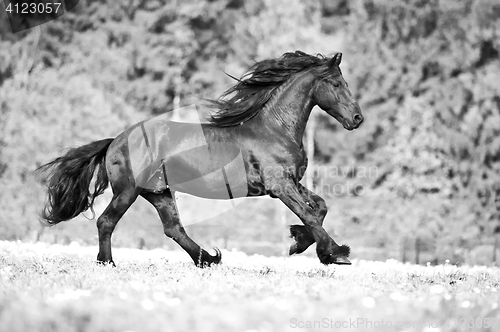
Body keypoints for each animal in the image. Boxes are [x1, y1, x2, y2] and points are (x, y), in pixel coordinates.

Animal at [39, 51, 366, 268]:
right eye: (336, 83)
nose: (357, 119)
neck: (274, 128)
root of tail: (116, 141)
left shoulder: (290, 182)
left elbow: (320, 206)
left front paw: (299, 242)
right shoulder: (279, 186)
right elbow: (309, 213)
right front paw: (335, 253)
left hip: (158, 192)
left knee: (173, 228)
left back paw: (208, 259)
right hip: (128, 191)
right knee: (106, 222)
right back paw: (108, 263)